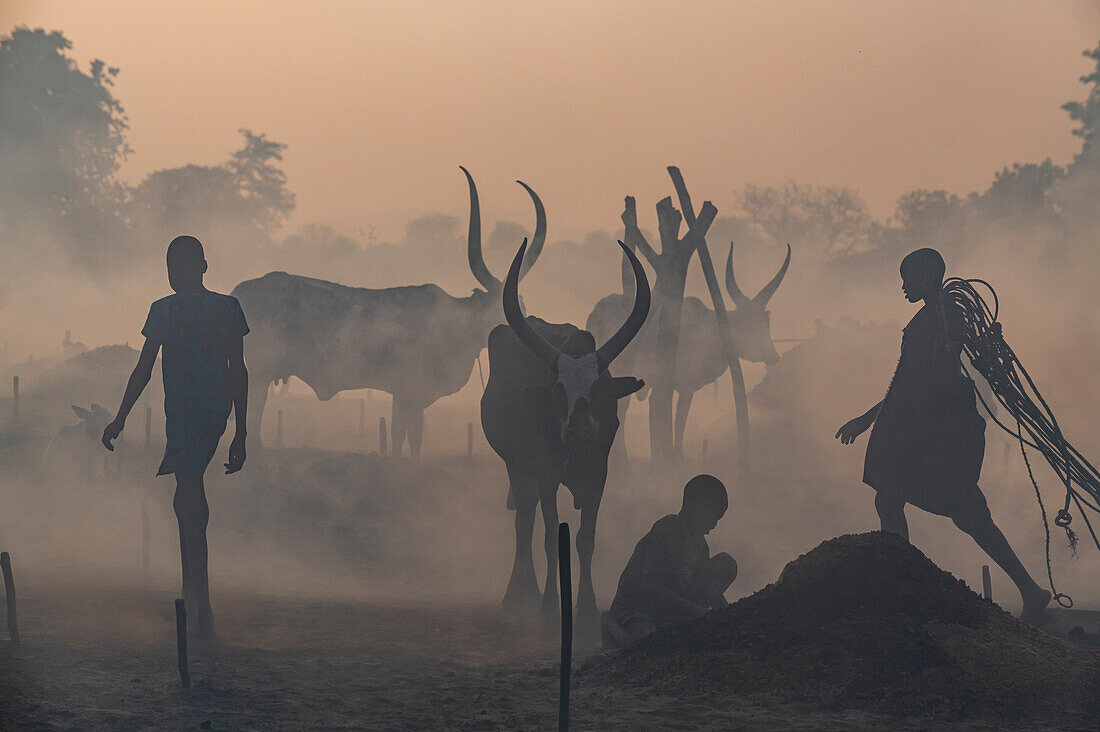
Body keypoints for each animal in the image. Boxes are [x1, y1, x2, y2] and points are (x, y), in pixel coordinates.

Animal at [232, 168, 545, 460]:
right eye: (498, 310)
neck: (455, 324)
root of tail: (242, 289)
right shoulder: (409, 390)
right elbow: (406, 434)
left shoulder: (406, 394)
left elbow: (406, 435)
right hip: (260, 373)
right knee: (253, 416)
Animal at [484, 235, 651, 629]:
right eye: (558, 390)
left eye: (600, 389)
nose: (579, 433)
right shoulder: (545, 474)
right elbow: (549, 535)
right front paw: (549, 606)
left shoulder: (598, 475)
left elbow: (584, 539)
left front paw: (586, 606)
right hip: (517, 464)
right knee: (524, 520)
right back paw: (520, 595)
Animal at [585, 242, 792, 453]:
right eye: (751, 323)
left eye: (765, 322)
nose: (773, 356)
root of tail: (597, 311)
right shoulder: (686, 387)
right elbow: (679, 422)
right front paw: (677, 455)